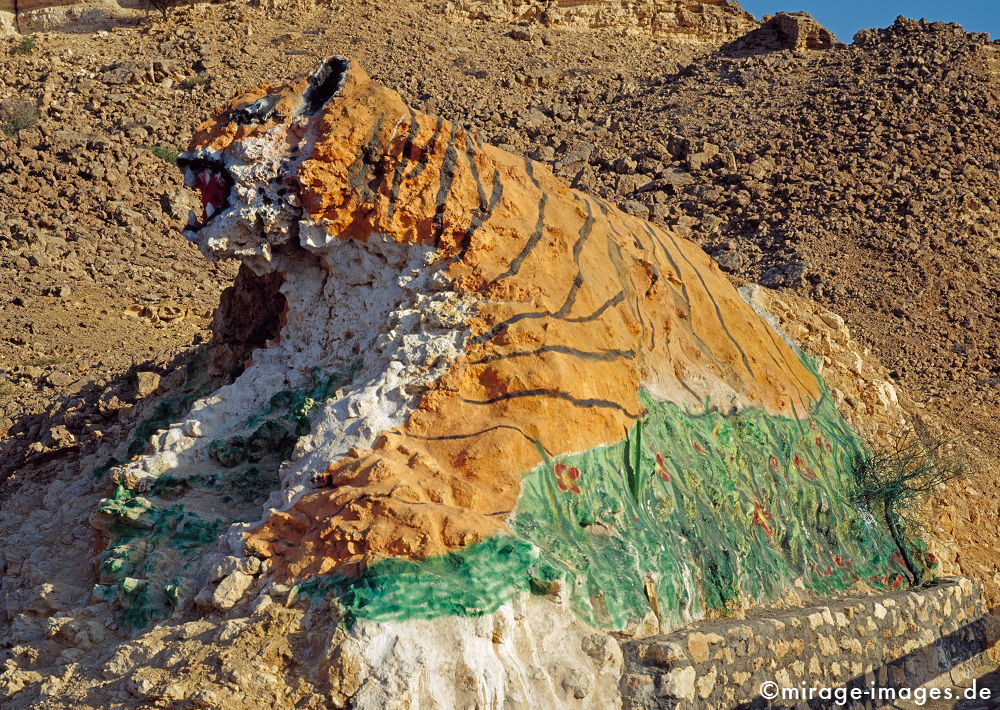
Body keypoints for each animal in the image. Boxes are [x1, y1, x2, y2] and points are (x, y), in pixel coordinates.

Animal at [177, 56, 821, 583]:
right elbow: (215, 422)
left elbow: (395, 446)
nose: (184, 152)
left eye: (249, 112)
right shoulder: (292, 350)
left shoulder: (511, 360)